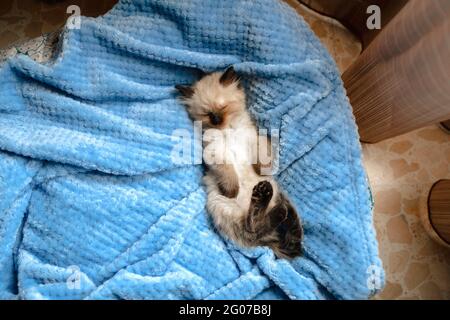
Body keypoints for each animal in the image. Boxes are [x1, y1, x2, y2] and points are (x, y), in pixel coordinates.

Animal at [176, 67, 302, 260]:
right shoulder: (215, 153)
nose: (216, 120)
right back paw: (269, 201)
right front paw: (232, 190)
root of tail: (270, 241)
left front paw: (260, 170)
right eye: (207, 114)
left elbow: (261, 158)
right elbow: (228, 174)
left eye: (223, 107)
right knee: (252, 227)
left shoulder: (256, 140)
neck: (228, 129)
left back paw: (275, 203)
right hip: (221, 205)